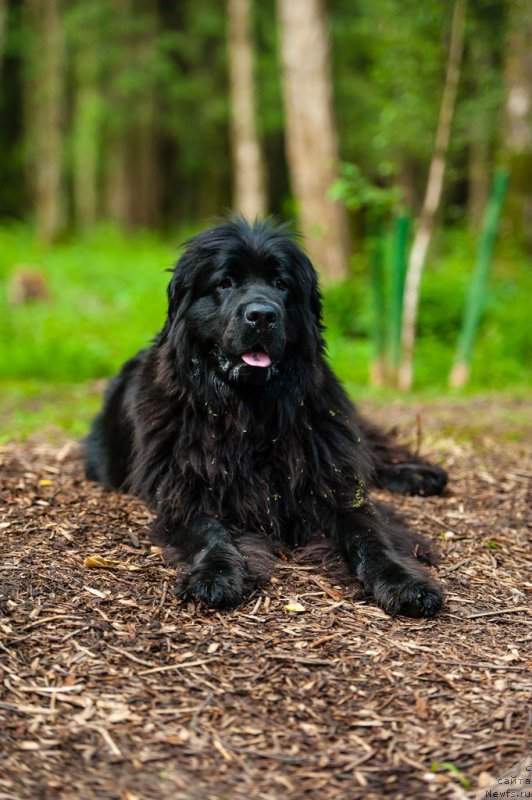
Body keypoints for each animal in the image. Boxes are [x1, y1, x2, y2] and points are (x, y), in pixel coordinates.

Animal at [85, 217, 446, 620]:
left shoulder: (331, 484)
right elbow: (210, 531)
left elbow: (369, 532)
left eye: (281, 285)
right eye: (225, 283)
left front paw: (403, 581)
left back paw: (419, 475)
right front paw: (215, 575)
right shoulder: (185, 492)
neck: (250, 413)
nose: (262, 315)